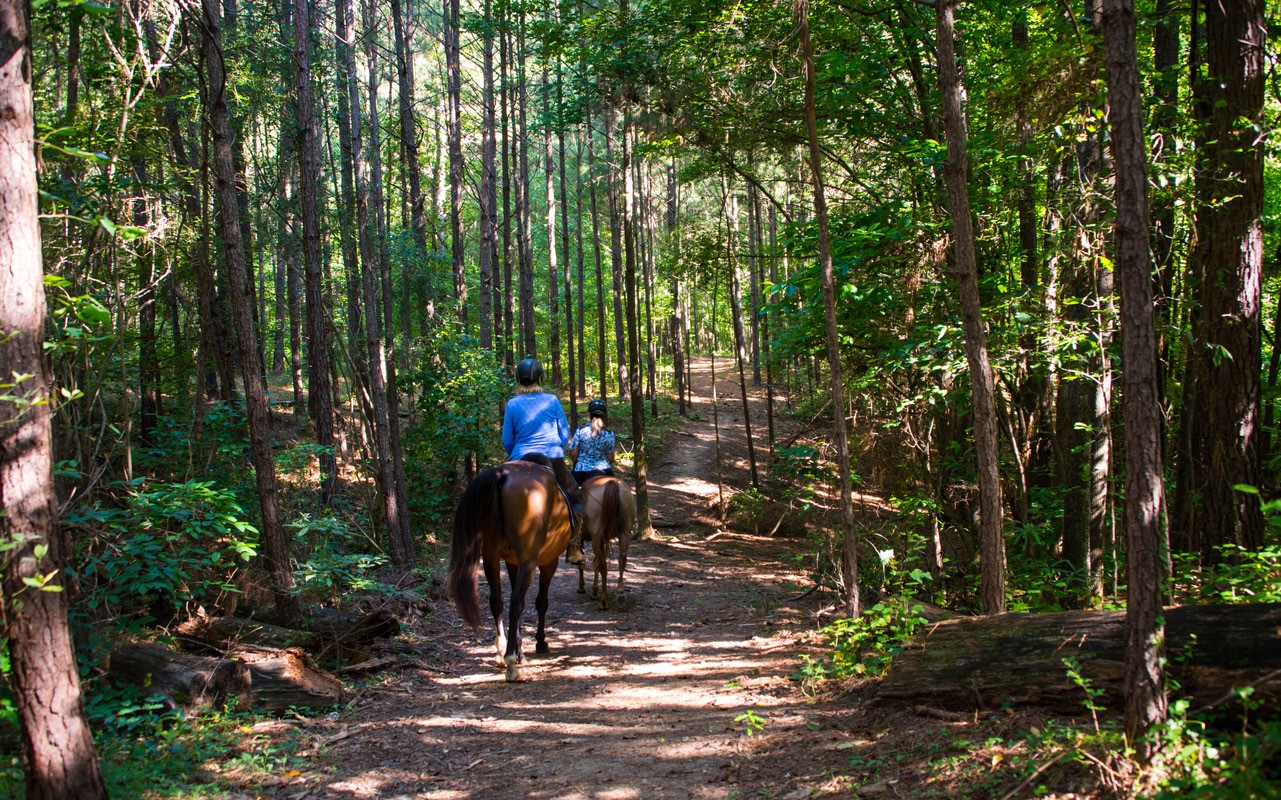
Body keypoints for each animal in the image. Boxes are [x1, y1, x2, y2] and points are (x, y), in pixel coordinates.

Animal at [450, 455, 571, 680]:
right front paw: (540, 642)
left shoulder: (511, 561)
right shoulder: (548, 562)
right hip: (529, 560)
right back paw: (511, 662)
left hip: (490, 556)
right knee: (517, 602)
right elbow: (541, 602)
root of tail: (502, 475)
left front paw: (521, 648)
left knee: (497, 600)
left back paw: (501, 652)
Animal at [576, 473, 635, 611]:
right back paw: (620, 593)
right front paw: (594, 590)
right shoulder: (602, 538)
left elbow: (582, 563)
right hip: (624, 532)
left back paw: (603, 601)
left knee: (602, 563)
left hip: (596, 535)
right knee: (621, 558)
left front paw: (584, 587)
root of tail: (612, 483)